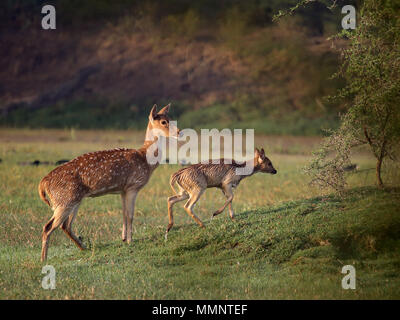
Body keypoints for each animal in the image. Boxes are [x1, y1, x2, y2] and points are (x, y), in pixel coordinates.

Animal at [39, 104, 180, 262]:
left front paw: (123, 239)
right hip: (64, 200)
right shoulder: (133, 186)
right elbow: (130, 215)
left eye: (170, 118)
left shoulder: (123, 190)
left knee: (65, 226)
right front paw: (130, 241)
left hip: (72, 200)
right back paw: (43, 259)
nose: (178, 132)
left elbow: (124, 213)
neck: (145, 159)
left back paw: (84, 248)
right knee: (48, 227)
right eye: (163, 122)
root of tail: (43, 183)